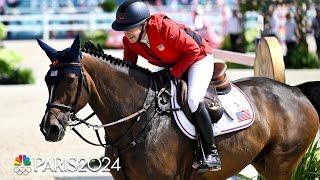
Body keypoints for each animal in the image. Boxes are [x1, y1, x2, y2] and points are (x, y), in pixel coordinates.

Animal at [36, 35, 318, 179]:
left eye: (70, 79)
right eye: (47, 79)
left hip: (281, 164)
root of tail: (297, 91)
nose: (49, 129)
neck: (137, 121)